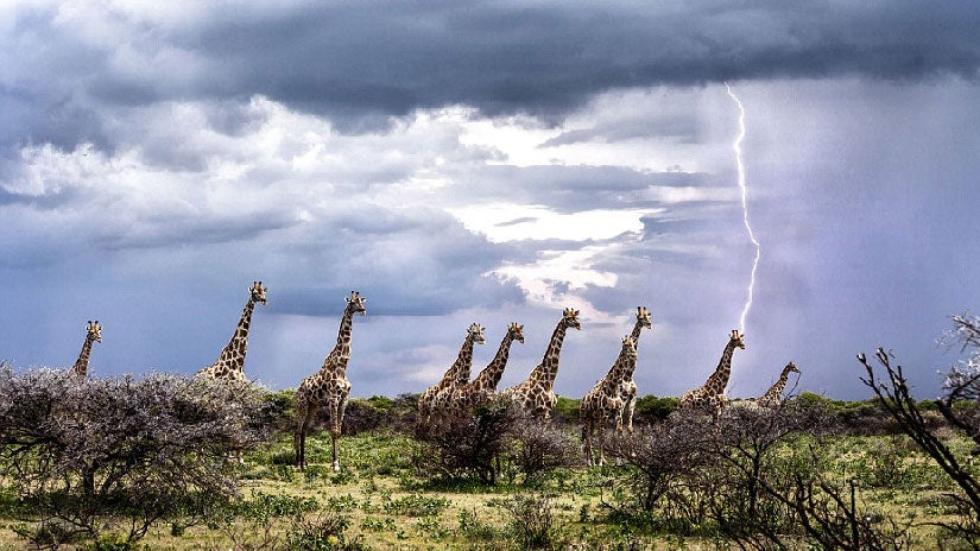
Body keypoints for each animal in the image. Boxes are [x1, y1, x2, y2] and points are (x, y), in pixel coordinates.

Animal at [294, 292, 368, 472]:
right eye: (352, 303)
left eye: (361, 301)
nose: (363, 310)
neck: (343, 366)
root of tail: (298, 389)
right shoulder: (333, 398)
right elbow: (333, 430)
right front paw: (335, 465)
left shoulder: (344, 399)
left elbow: (339, 431)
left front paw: (338, 463)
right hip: (302, 404)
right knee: (298, 430)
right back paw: (297, 464)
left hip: (313, 406)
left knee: (305, 429)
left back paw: (304, 463)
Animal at [580, 306, 652, 466]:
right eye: (640, 317)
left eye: (649, 315)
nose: (650, 324)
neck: (628, 376)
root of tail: (583, 398)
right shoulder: (617, 406)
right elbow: (614, 431)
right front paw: (616, 460)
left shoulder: (631, 401)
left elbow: (628, 428)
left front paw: (631, 455)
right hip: (587, 417)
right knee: (587, 435)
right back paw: (590, 461)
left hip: (595, 418)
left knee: (591, 435)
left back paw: (592, 460)